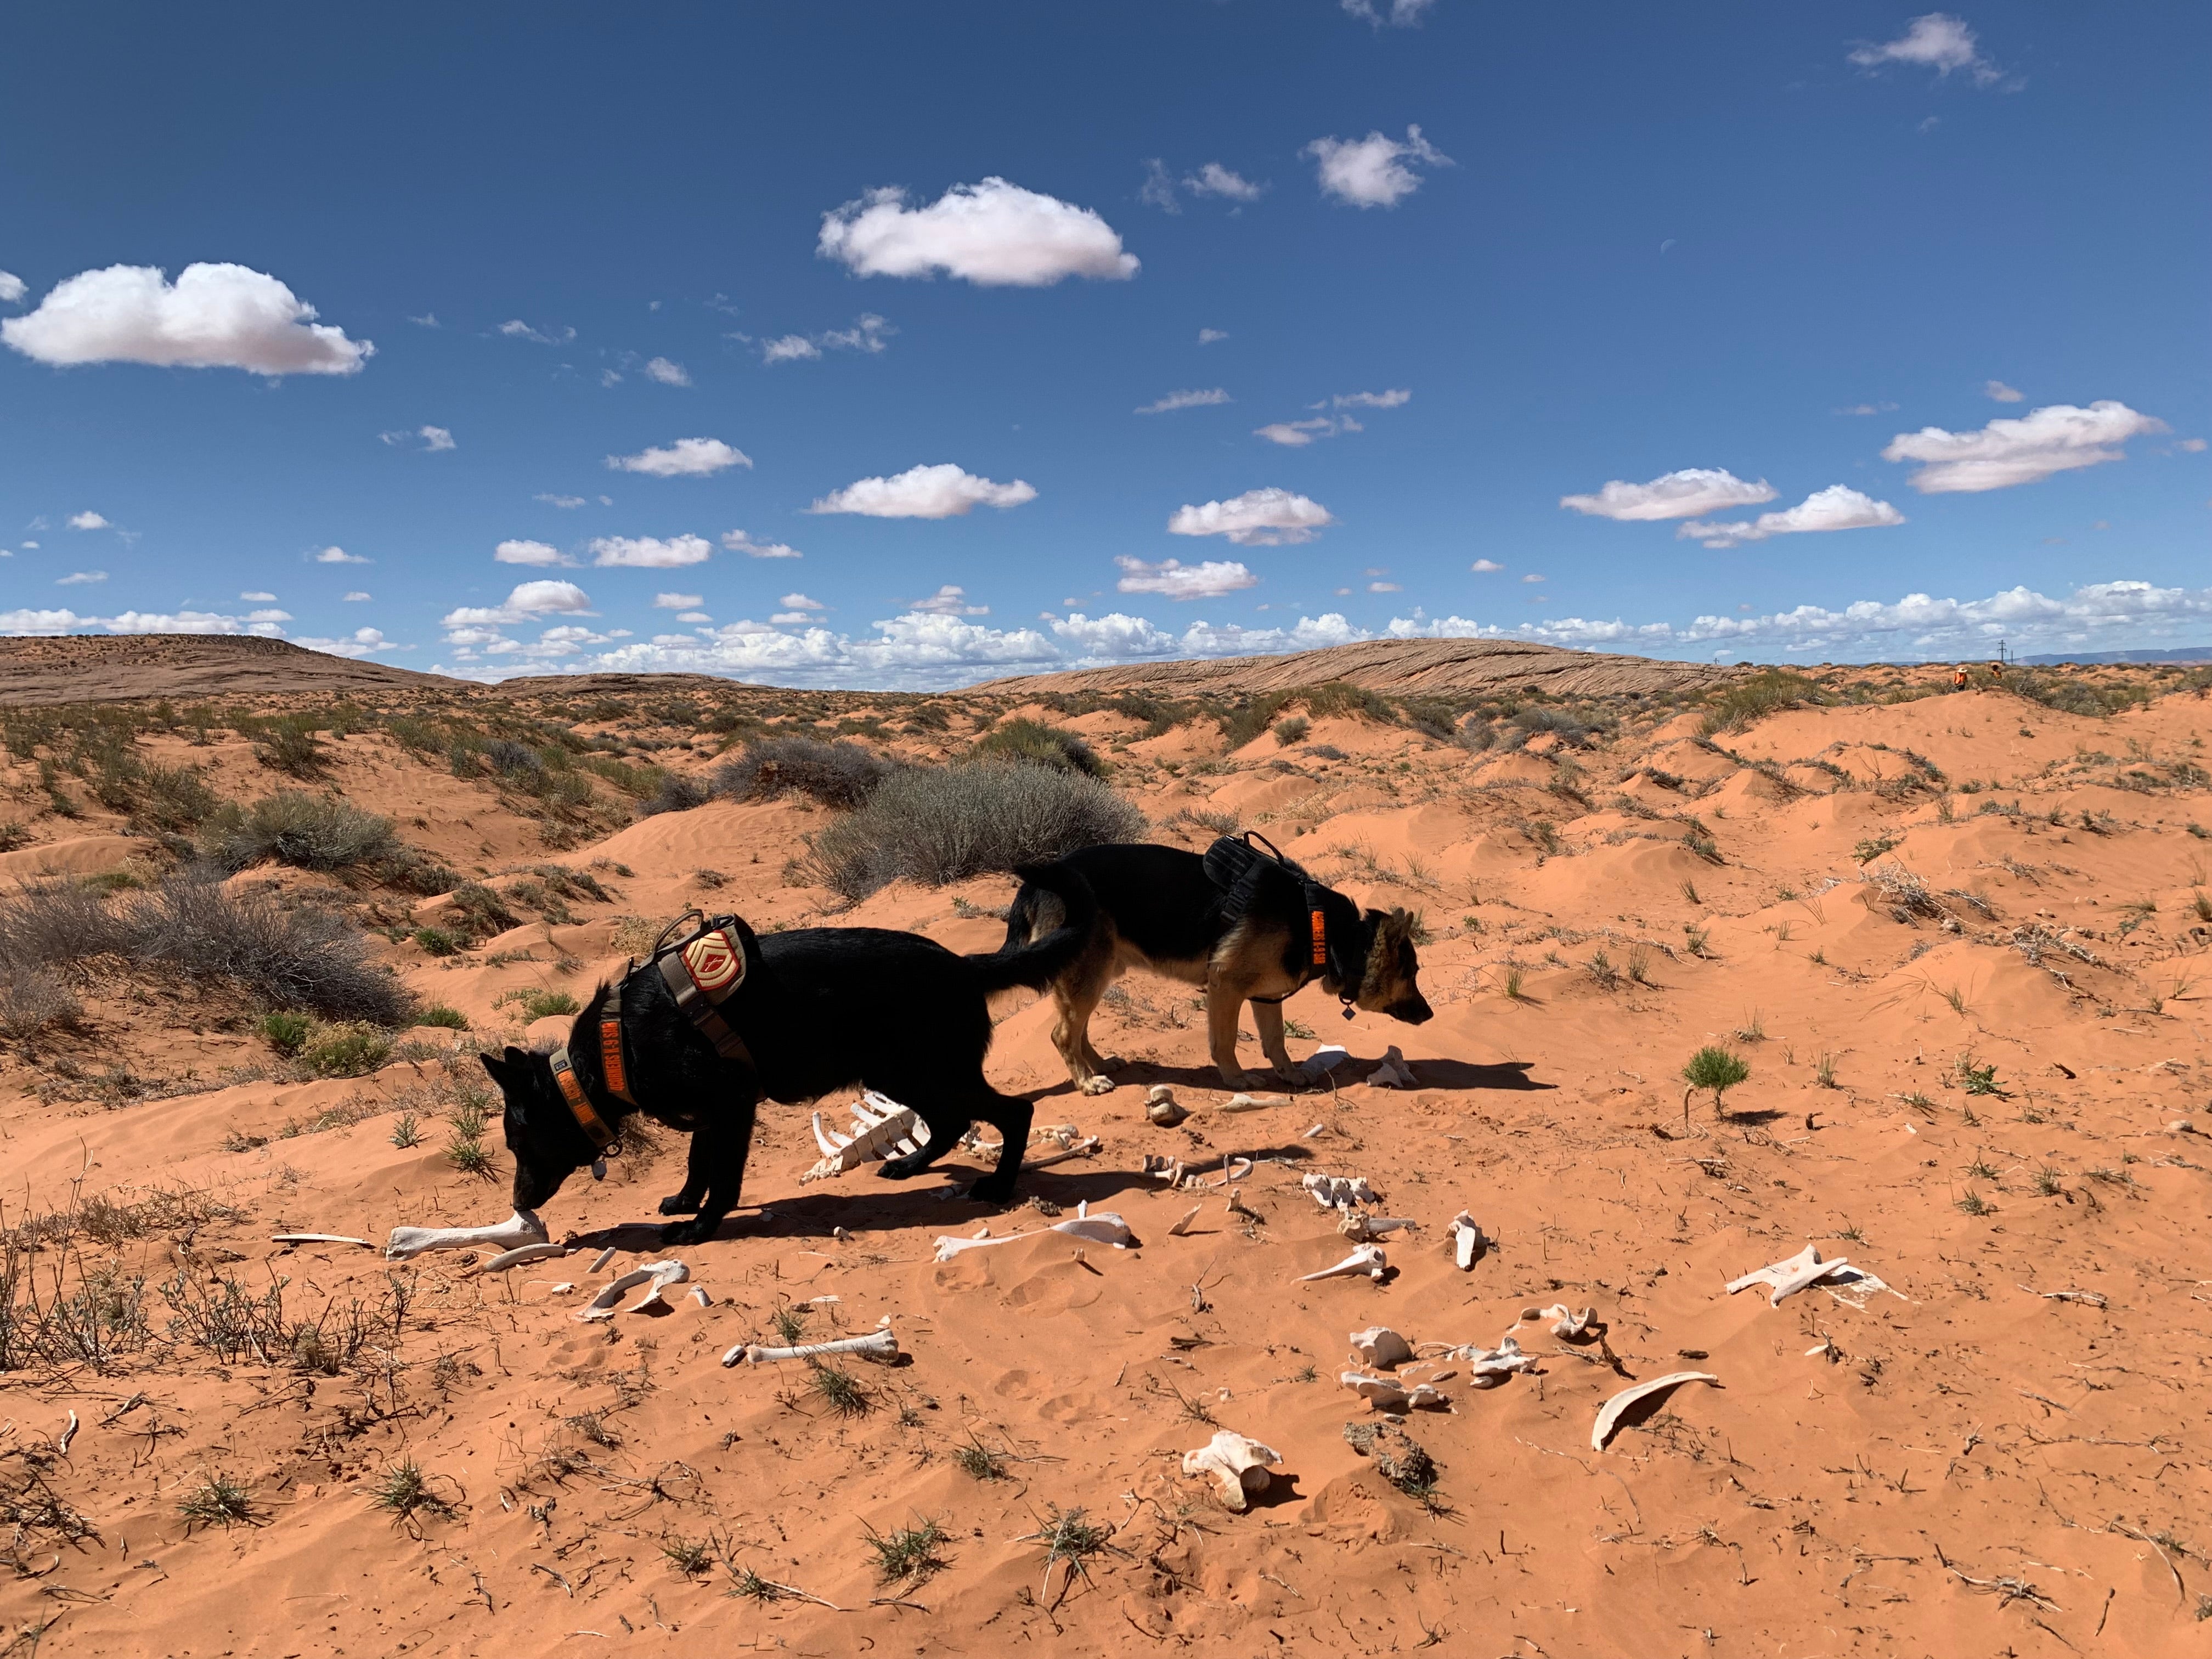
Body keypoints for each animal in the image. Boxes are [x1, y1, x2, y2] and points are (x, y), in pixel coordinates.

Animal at [489, 871, 1101, 1248]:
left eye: (520, 1145)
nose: (518, 1203)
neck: (611, 1052)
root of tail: (967, 967)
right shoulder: (712, 1113)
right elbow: (698, 1162)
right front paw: (685, 1202)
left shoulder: (732, 1103)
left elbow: (724, 1178)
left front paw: (702, 1226)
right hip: (902, 1074)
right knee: (953, 1123)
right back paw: (910, 1167)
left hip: (926, 1071)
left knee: (1014, 1112)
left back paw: (998, 1187)